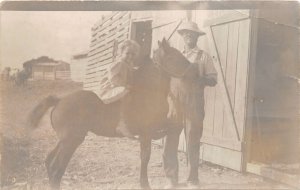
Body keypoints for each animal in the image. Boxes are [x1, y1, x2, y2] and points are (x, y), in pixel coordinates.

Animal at [26, 39, 190, 190]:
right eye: (173, 55)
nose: (191, 69)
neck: (148, 91)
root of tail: (60, 100)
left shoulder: (157, 128)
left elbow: (174, 128)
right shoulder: (146, 134)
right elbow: (145, 157)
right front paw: (145, 184)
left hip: (66, 141)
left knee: (50, 163)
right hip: (71, 141)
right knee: (56, 167)